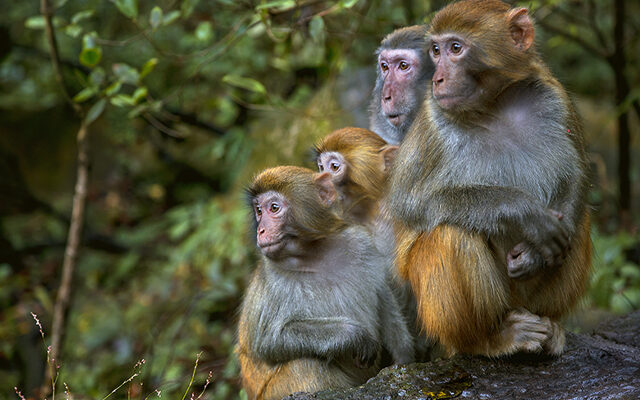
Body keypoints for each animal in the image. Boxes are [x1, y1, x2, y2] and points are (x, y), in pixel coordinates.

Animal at [237, 166, 413, 400]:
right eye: (258, 211)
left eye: (273, 208)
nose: (261, 230)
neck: (315, 254)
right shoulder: (273, 277)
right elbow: (268, 342)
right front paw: (352, 335)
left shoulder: (361, 242)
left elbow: (382, 296)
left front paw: (405, 359)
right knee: (307, 366)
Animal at [387, 0, 592, 358]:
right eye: (436, 50)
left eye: (455, 48)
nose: (438, 79)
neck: (495, 105)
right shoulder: (432, 122)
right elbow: (412, 204)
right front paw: (523, 212)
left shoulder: (554, 98)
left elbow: (575, 177)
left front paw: (534, 252)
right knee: (451, 231)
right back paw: (488, 339)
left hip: (528, 298)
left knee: (577, 225)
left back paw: (551, 324)